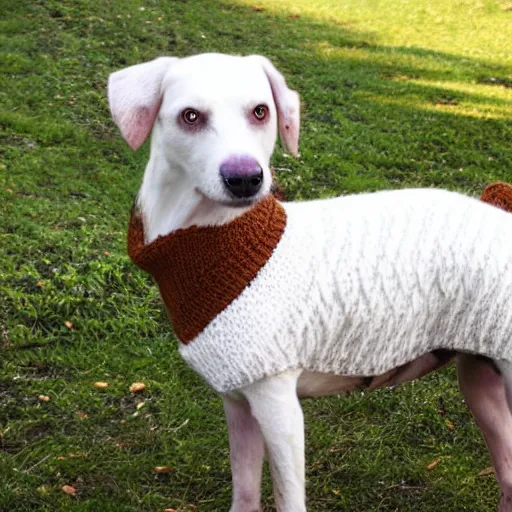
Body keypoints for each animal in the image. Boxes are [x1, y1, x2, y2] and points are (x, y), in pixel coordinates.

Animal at [108, 54, 512, 510]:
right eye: (189, 116)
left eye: (261, 111)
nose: (246, 178)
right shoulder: (238, 399)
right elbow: (245, 495)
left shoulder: (278, 403)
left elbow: (288, 499)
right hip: (481, 376)